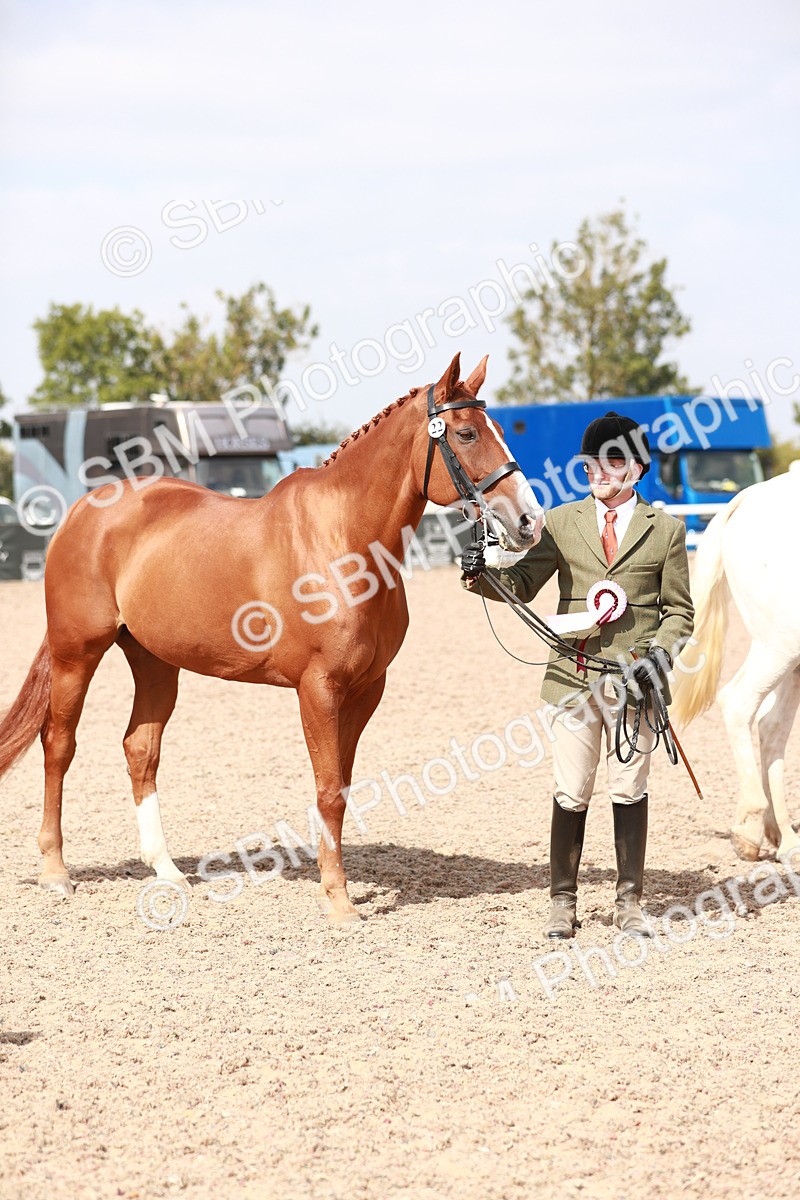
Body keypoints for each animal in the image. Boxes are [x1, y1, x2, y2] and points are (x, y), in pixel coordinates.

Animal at [0, 353, 544, 925]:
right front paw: (340, 903)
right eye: (466, 433)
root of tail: (80, 512)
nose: (529, 521)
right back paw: (56, 872)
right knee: (59, 745)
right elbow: (328, 792)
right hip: (76, 652)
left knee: (140, 749)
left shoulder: (366, 690)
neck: (342, 541)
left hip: (153, 661)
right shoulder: (319, 689)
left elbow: (340, 787)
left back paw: (166, 870)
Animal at [671, 466, 800, 862]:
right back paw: (749, 830)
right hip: (779, 646)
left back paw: (786, 839)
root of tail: (748, 497)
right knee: (740, 703)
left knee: (772, 726)